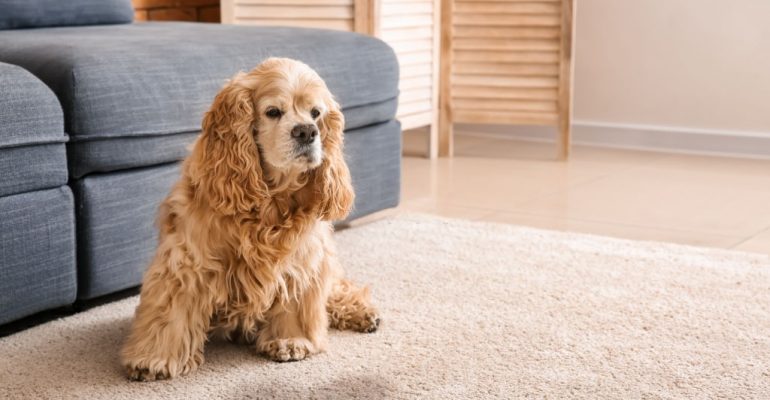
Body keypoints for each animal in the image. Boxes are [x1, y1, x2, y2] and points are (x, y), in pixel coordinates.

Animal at [120, 57, 380, 382]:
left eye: (316, 113)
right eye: (273, 112)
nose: (307, 132)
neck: (270, 200)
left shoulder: (302, 259)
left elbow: (297, 300)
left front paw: (290, 341)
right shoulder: (186, 260)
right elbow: (171, 312)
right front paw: (154, 359)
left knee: (337, 287)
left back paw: (362, 312)